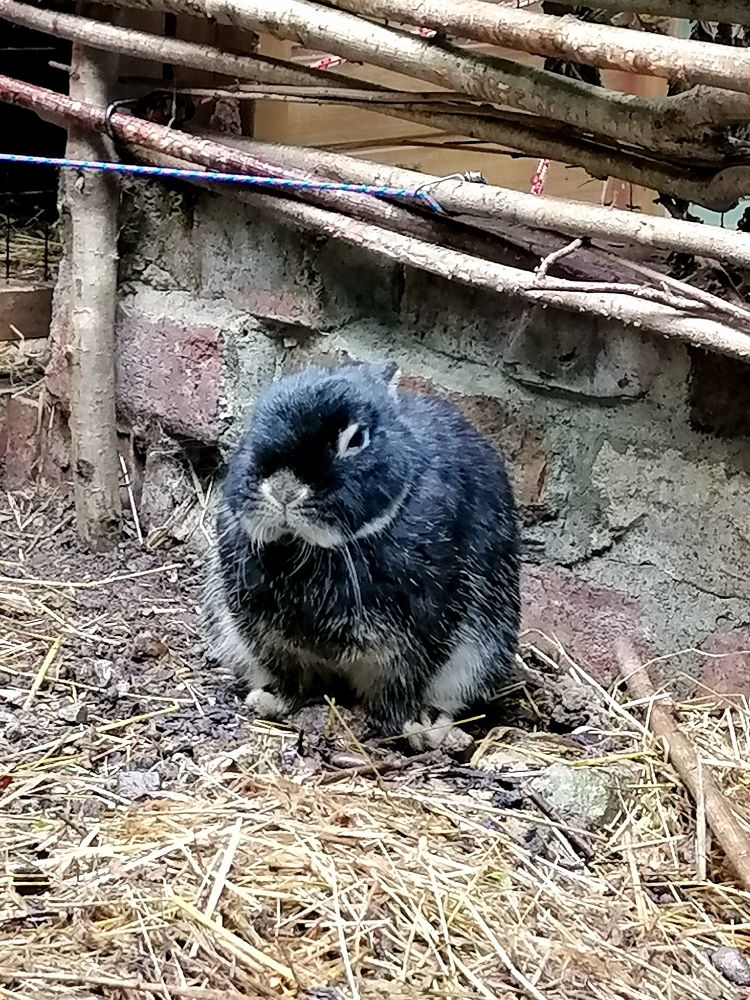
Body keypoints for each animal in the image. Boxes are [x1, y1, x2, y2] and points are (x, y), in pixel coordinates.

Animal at [203, 361, 520, 749]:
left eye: (356, 440)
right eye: (254, 423)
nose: (283, 490)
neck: (311, 548)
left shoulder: (420, 635)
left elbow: (400, 686)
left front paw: (410, 726)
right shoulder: (266, 634)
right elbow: (290, 674)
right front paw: (273, 700)